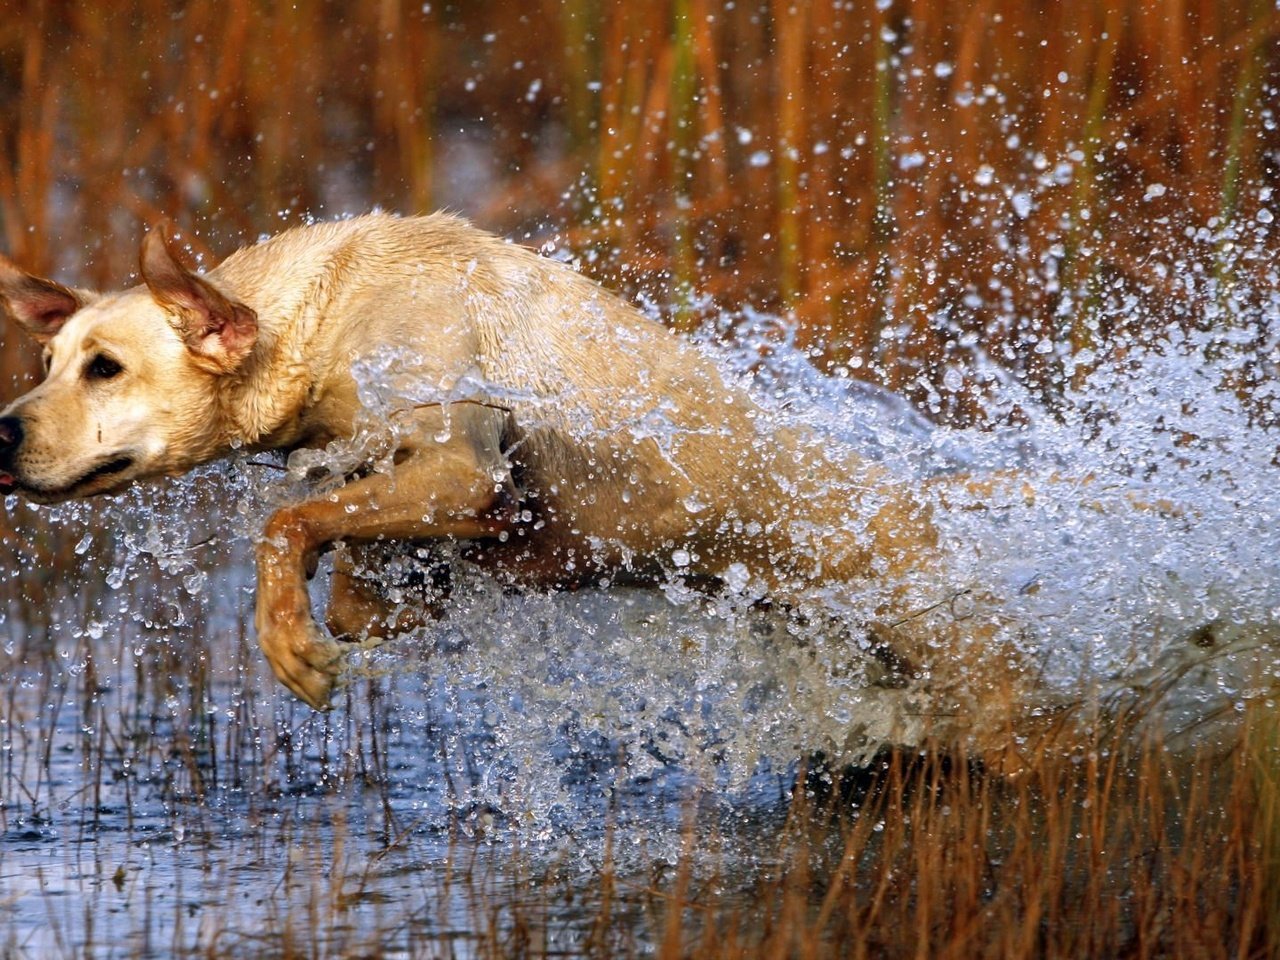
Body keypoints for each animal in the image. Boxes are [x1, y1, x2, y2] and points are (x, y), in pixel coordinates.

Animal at [0, 213, 1044, 747]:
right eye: (45, 361)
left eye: (105, 368)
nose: (1, 433)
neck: (320, 316)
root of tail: (924, 502)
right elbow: (349, 569)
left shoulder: (460, 464)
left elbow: (288, 526)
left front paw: (289, 643)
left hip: (974, 677)